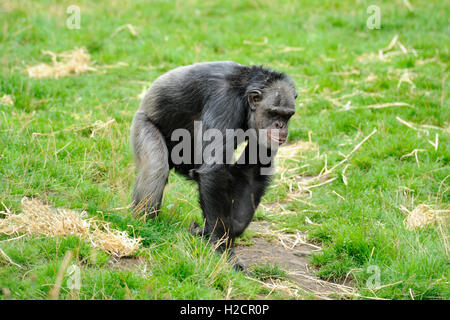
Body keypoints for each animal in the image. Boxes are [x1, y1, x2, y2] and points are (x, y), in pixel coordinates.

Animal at [131, 61, 296, 272]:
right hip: (141, 125)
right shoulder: (224, 102)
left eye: (287, 115)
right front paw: (222, 249)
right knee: (155, 167)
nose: (280, 126)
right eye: (273, 112)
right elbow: (214, 169)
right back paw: (144, 226)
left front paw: (226, 230)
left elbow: (253, 172)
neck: (244, 97)